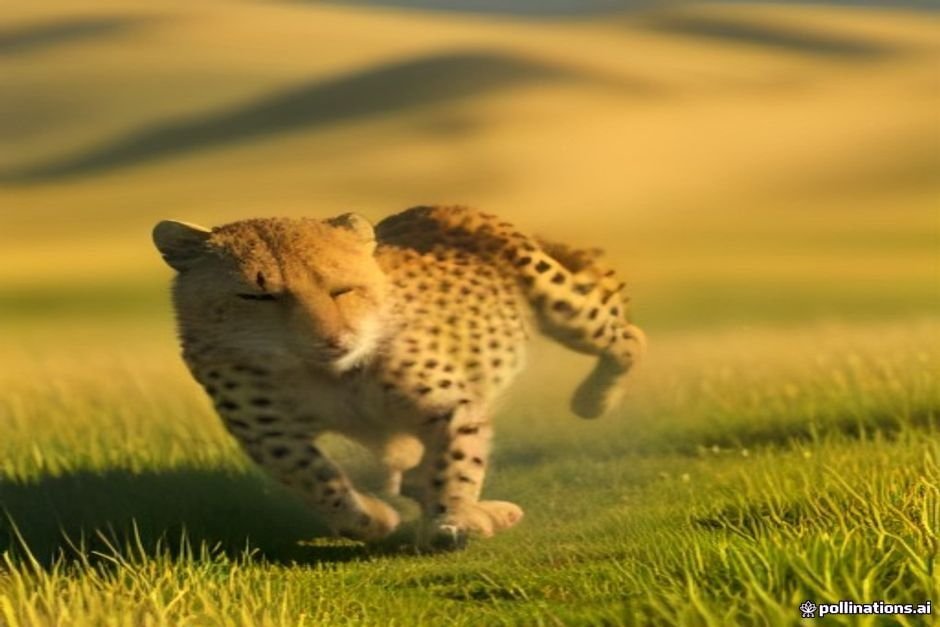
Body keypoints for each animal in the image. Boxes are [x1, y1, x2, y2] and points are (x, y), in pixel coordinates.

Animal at [152, 205, 645, 547]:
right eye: (258, 296)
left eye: (341, 289)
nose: (334, 338)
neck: (325, 372)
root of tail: (435, 208)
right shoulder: (270, 432)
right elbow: (312, 475)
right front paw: (368, 518)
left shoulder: (451, 407)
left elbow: (456, 461)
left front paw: (452, 519)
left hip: (561, 303)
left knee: (627, 338)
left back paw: (594, 399)